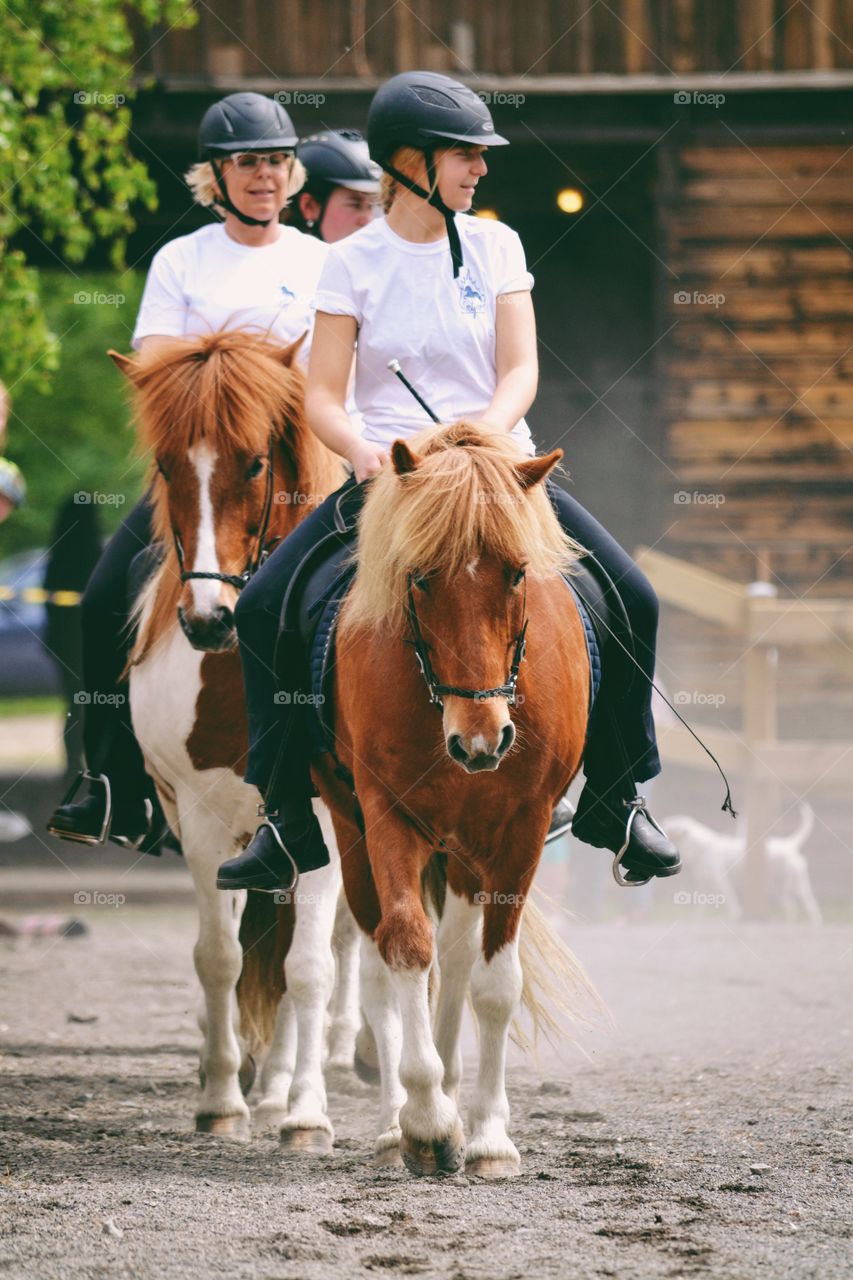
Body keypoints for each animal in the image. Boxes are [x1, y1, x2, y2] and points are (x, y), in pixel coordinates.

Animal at [110, 330, 356, 1141]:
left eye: (254, 462)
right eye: (165, 465)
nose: (209, 620)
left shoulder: (324, 823)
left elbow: (309, 968)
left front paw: (306, 1115)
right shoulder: (202, 821)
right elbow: (219, 957)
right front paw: (220, 1099)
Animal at [315, 422, 601, 1177]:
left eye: (517, 572)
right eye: (418, 577)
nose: (481, 740)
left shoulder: (520, 828)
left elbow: (492, 984)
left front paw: (490, 1137)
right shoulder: (386, 813)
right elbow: (405, 948)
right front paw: (425, 1121)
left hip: (471, 848)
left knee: (459, 956)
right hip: (358, 830)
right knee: (383, 962)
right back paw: (398, 1121)